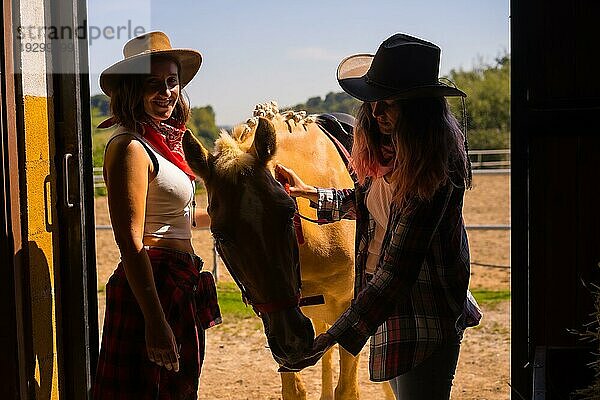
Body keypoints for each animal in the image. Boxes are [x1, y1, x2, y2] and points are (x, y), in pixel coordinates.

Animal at [183, 102, 394, 400]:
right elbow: (295, 388)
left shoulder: (349, 310)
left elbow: (347, 389)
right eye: (220, 236)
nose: (293, 340)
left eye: (288, 215)